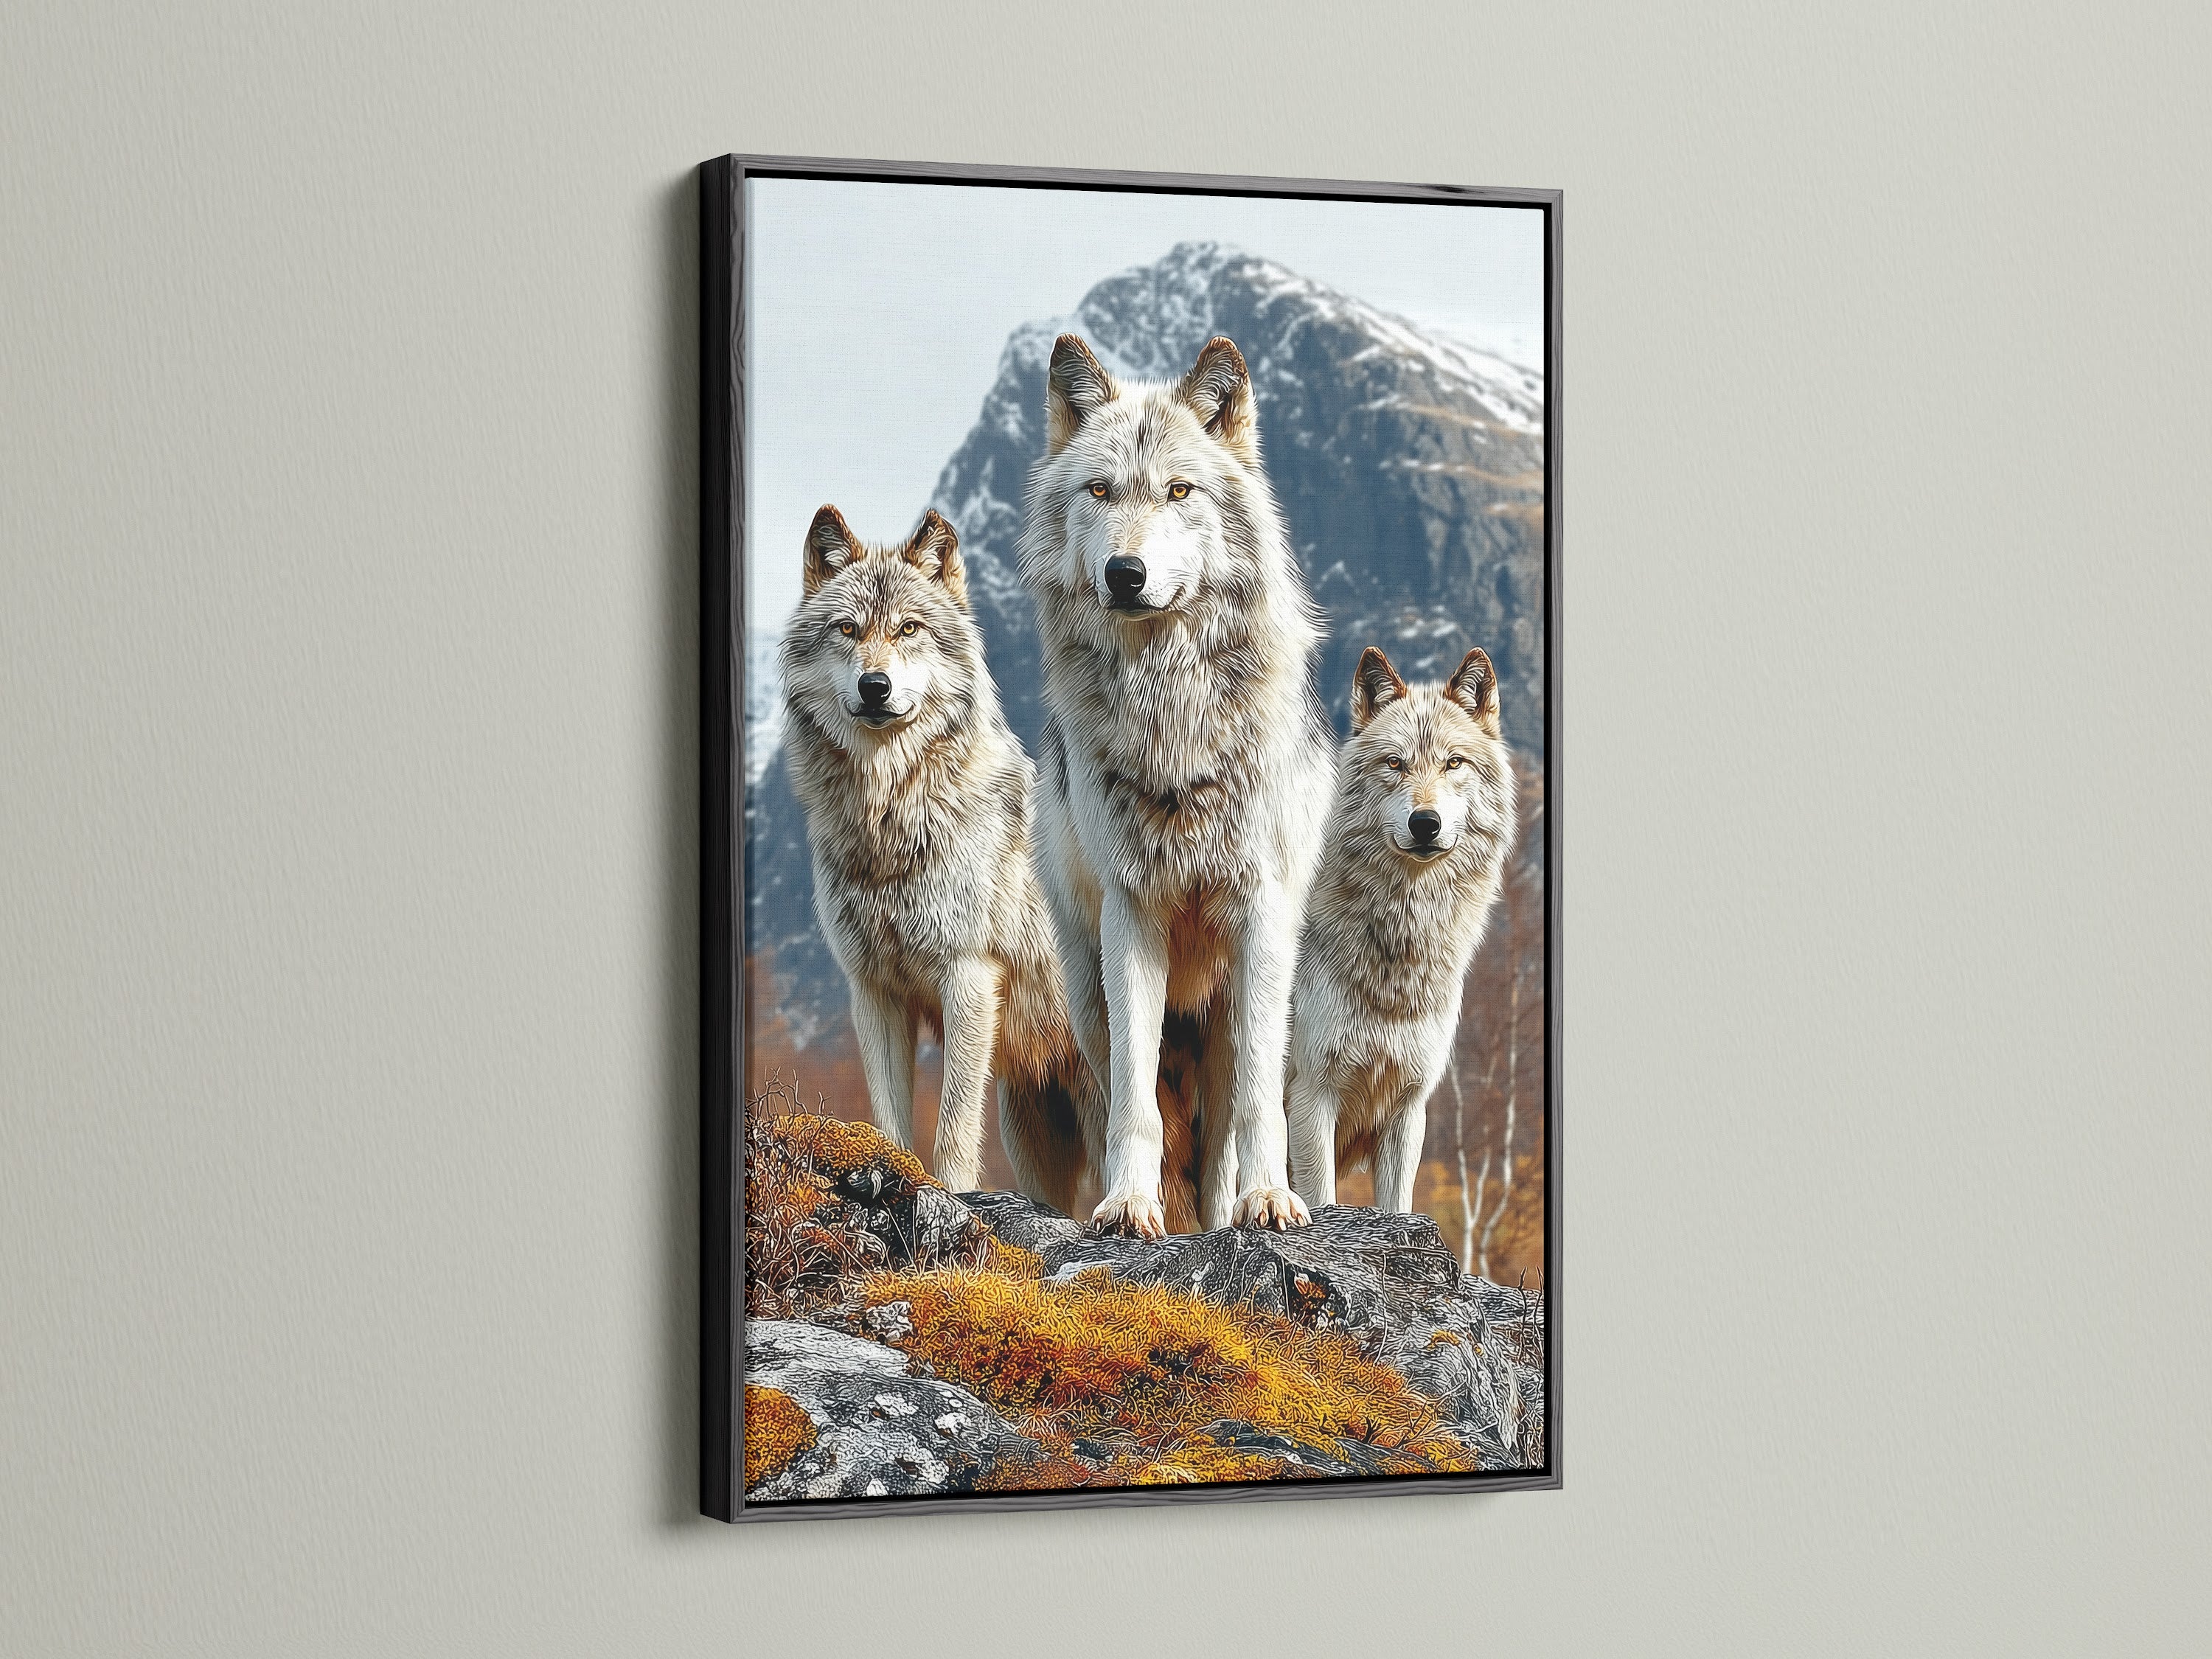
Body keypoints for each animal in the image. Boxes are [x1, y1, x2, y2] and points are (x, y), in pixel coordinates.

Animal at [778, 504, 1091, 1207]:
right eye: (848, 629)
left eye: (909, 628)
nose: (874, 686)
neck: (892, 820)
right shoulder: (872, 991)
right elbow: (890, 1117)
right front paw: (888, 1173)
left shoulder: (968, 976)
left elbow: (951, 1123)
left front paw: (948, 1193)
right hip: (1034, 1125)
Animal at [1020, 333, 1334, 1238]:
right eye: (1100, 490)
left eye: (1179, 491)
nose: (1126, 572)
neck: (1172, 721)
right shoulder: (1133, 915)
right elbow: (1136, 1107)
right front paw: (1129, 1206)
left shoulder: (1260, 912)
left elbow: (1259, 1106)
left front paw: (1269, 1202)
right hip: (1087, 995)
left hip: (1238, 1007)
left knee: (1227, 1124)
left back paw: (1236, 1206)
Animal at [1285, 645, 1517, 1216]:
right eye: (1395, 763)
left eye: (1454, 763)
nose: (1425, 823)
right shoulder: (1311, 1096)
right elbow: (1320, 1202)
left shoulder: (1409, 1105)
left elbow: (1398, 1206)